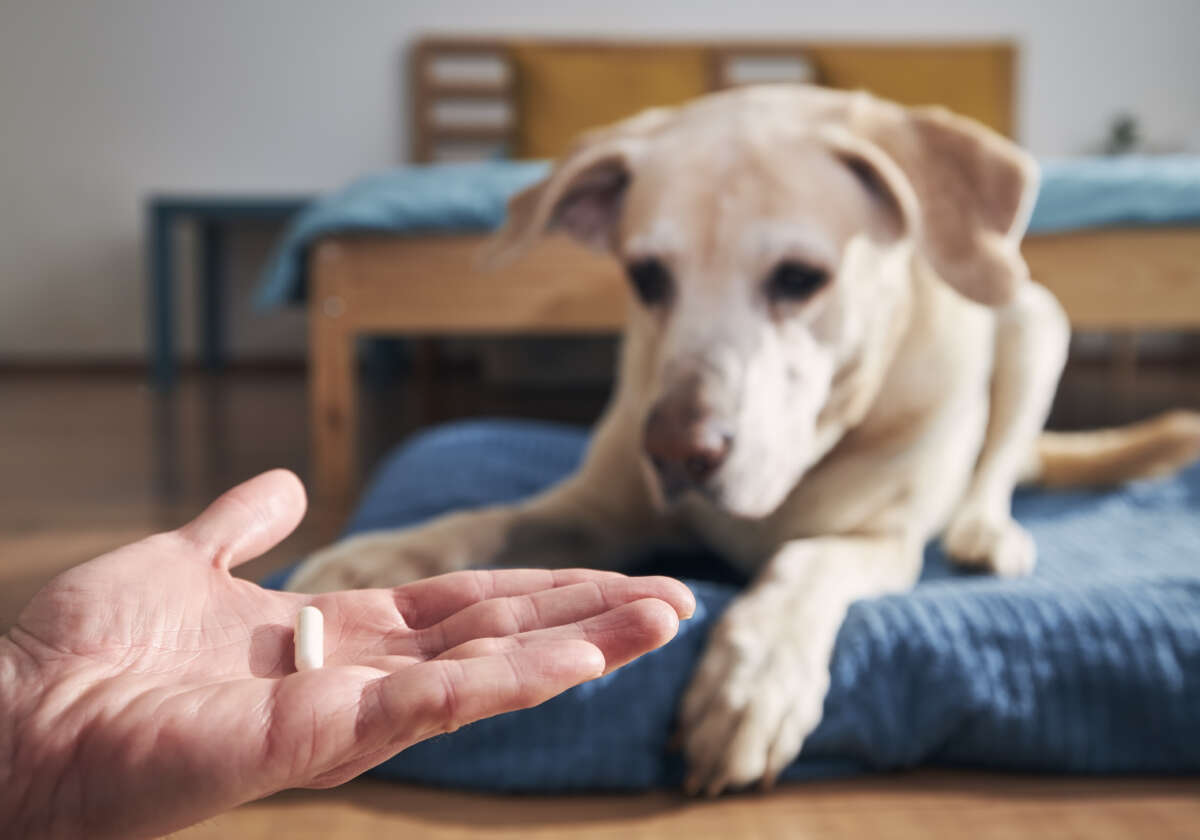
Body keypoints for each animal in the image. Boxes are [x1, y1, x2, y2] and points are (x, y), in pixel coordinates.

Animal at [288, 83, 1200, 792]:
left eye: (801, 278)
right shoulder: (595, 508)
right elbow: (489, 522)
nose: (677, 453)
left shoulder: (879, 539)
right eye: (647, 276)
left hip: (1032, 319)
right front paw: (374, 558)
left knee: (1001, 461)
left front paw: (750, 684)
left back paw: (988, 533)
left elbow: (803, 564)